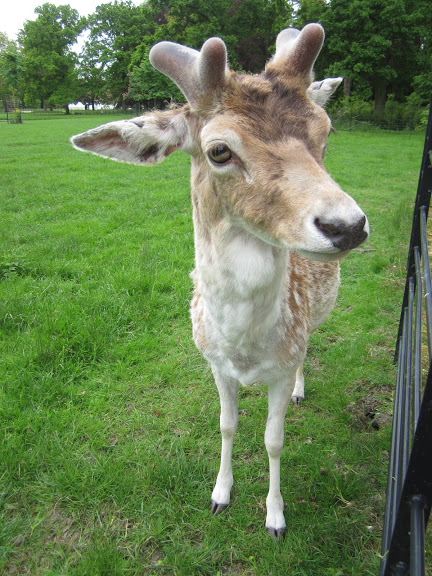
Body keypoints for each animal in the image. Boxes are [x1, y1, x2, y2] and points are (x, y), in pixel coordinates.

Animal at [71, 24, 368, 540]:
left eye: (326, 132)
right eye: (219, 150)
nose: (347, 225)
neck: (244, 348)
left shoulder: (282, 362)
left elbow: (273, 439)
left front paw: (275, 518)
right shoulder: (213, 361)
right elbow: (227, 426)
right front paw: (220, 495)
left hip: (314, 321)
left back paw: (302, 388)